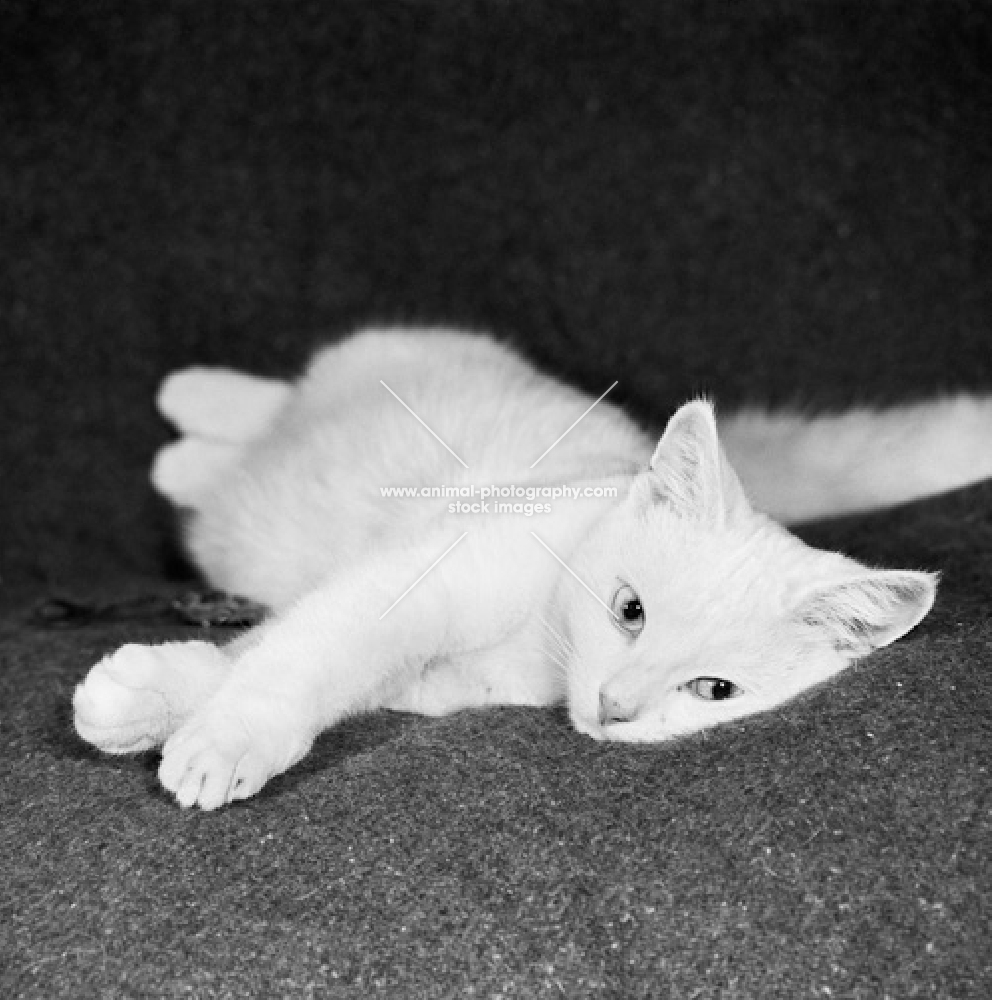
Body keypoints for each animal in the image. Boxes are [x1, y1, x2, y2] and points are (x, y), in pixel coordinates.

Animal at [71, 330, 992, 812]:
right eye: (630, 611)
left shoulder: (421, 673)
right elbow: (305, 655)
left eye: (714, 690)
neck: (542, 637)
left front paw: (166, 703)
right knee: (282, 396)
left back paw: (189, 460)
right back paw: (194, 403)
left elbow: (272, 651)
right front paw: (198, 726)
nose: (616, 708)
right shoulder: (411, 584)